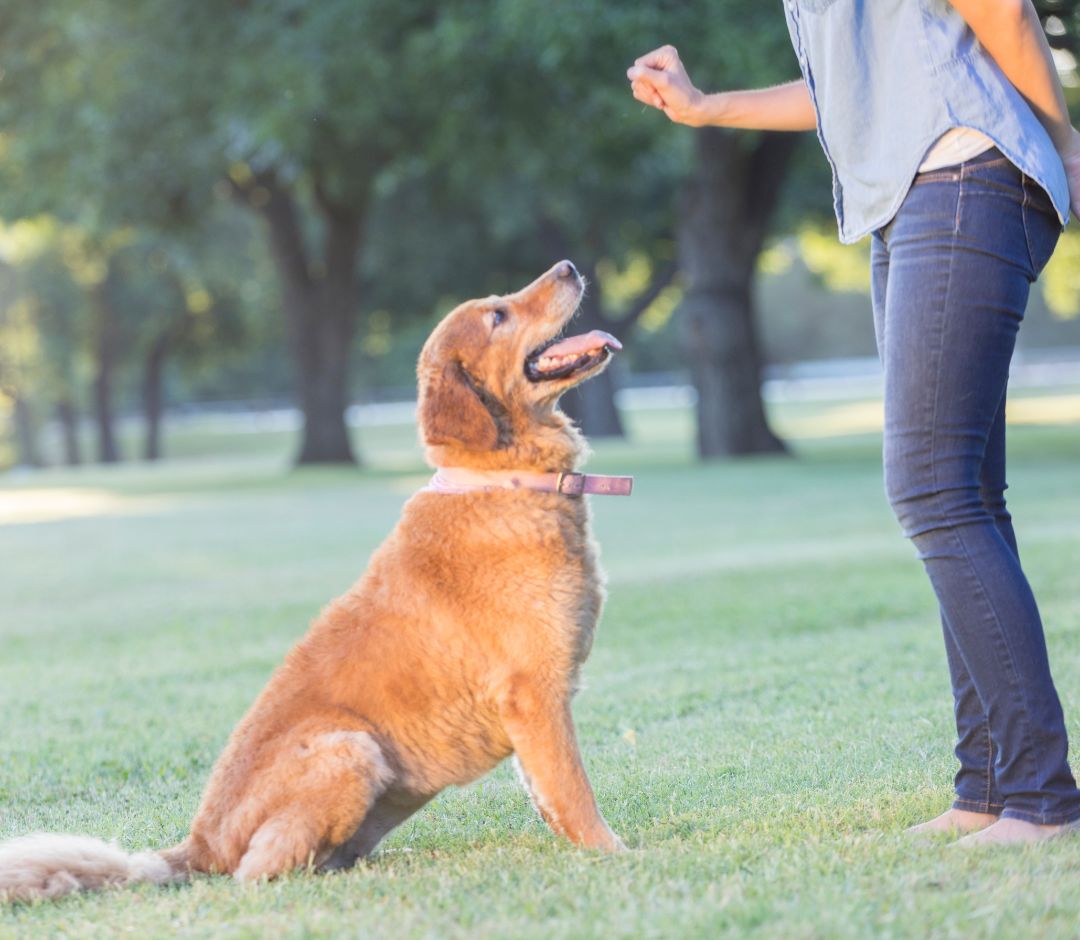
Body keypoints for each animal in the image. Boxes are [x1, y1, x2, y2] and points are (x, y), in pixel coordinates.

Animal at [0, 259, 630, 903]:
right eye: (498, 315)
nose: (569, 266)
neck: (504, 481)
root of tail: (198, 846)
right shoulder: (533, 695)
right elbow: (574, 792)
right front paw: (613, 855)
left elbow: (548, 797)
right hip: (349, 747)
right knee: (257, 872)